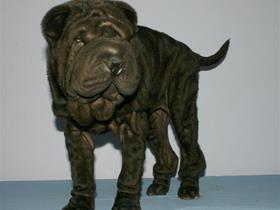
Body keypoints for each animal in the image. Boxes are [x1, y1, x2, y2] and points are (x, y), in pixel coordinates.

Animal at [41, 0, 230, 209]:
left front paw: (125, 204)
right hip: (154, 123)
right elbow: (81, 174)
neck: (100, 104)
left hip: (182, 111)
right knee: (168, 154)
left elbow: (129, 172)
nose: (115, 61)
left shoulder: (132, 127)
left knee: (191, 151)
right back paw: (159, 186)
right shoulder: (76, 134)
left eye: (123, 40)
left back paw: (189, 187)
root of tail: (191, 53)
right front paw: (79, 203)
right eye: (79, 42)